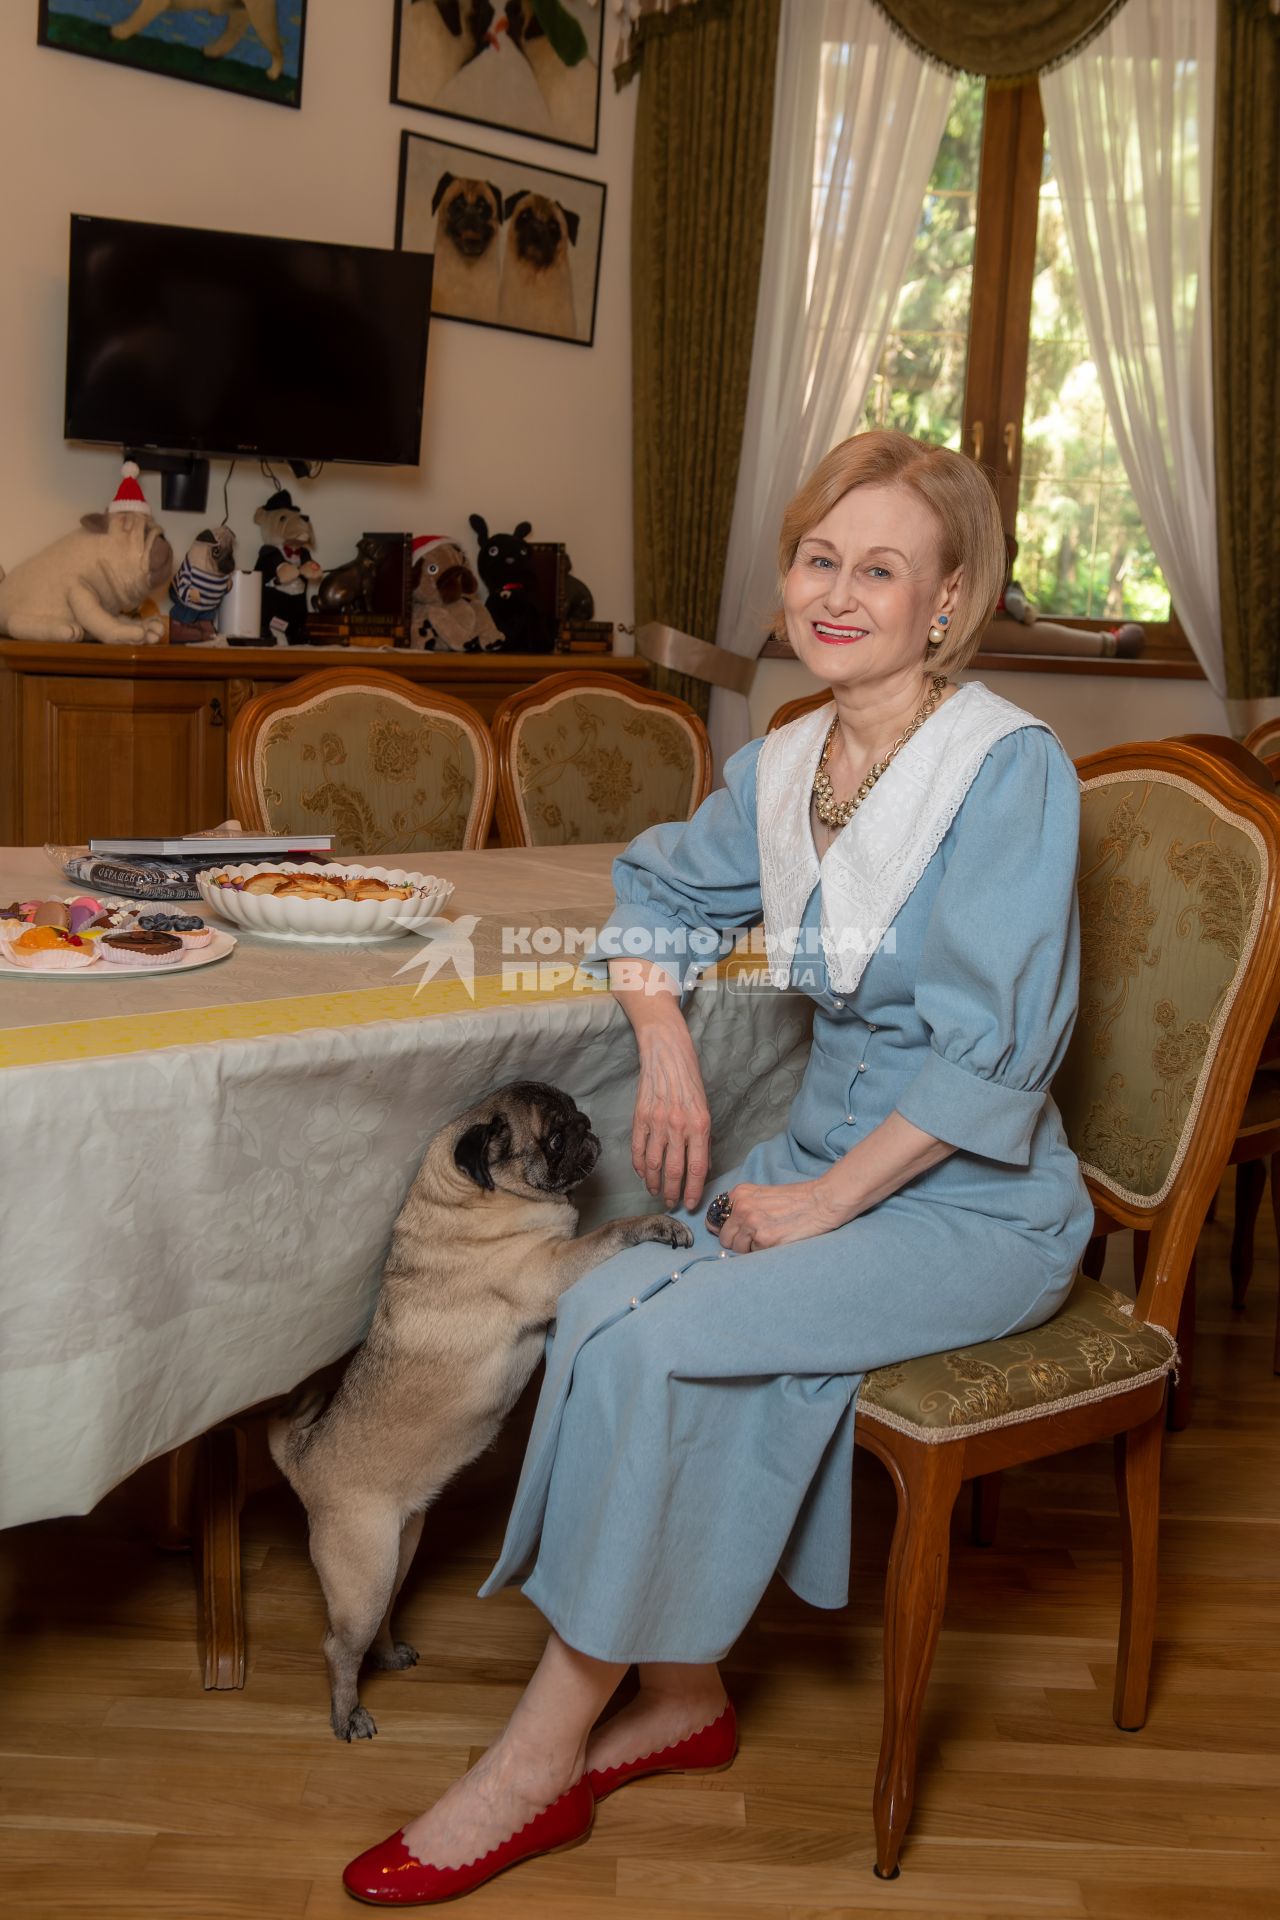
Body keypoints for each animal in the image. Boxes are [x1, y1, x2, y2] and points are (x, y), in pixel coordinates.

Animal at [268, 1082, 690, 1743]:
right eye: (554, 1137)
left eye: (574, 1114)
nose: (588, 1124)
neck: (471, 1198)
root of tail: (302, 1459)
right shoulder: (552, 1269)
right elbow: (605, 1233)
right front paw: (654, 1223)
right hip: (361, 1573)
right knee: (339, 1645)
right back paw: (347, 1713)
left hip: (400, 1551)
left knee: (381, 1619)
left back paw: (389, 1655)